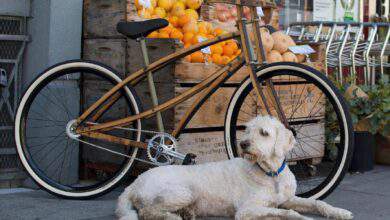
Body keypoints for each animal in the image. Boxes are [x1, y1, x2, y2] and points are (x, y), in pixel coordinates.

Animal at [116, 116, 354, 219]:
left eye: (264, 133)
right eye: (246, 130)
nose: (244, 144)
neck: (270, 173)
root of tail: (133, 184)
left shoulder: (287, 198)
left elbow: (317, 203)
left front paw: (339, 212)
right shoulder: (247, 210)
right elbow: (284, 213)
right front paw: (298, 217)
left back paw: (187, 213)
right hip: (183, 191)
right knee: (148, 211)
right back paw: (174, 217)